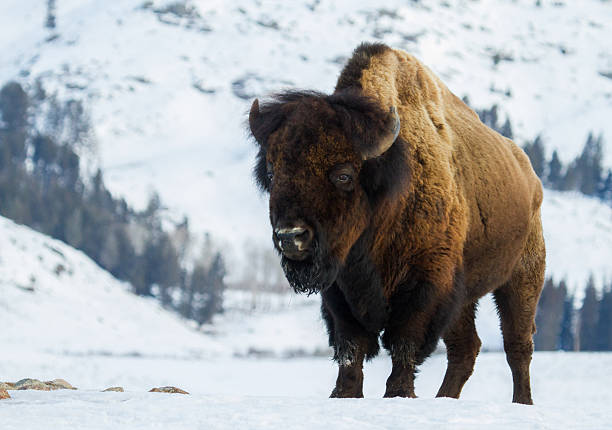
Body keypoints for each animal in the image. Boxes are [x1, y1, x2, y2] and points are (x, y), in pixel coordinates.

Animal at [247, 42, 544, 404]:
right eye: (272, 171)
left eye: (344, 175)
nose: (291, 236)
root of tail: (530, 176)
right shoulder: (339, 291)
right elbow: (351, 346)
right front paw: (343, 394)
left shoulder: (425, 282)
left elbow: (405, 341)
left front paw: (399, 393)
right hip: (464, 295)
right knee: (465, 348)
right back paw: (443, 398)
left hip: (522, 278)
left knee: (517, 344)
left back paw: (522, 402)